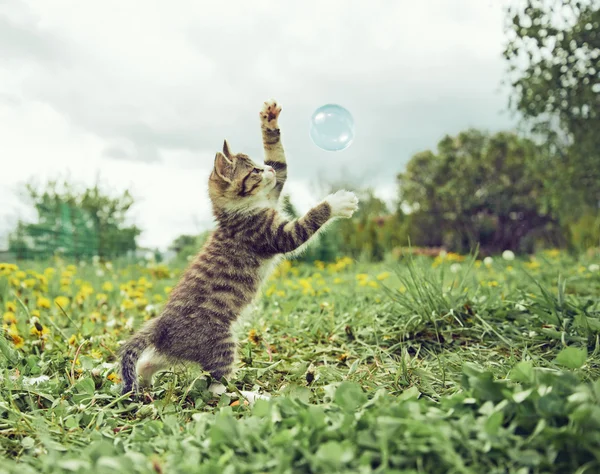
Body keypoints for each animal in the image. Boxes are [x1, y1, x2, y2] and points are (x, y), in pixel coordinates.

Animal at [119, 98, 358, 394]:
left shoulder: (274, 192)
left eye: (260, 164)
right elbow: (306, 223)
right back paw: (249, 395)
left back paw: (147, 378)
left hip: (177, 350)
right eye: (254, 171)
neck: (240, 210)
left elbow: (281, 162)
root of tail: (161, 325)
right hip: (221, 342)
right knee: (216, 387)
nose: (266, 170)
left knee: (150, 362)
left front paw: (269, 120)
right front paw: (338, 202)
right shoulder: (270, 234)